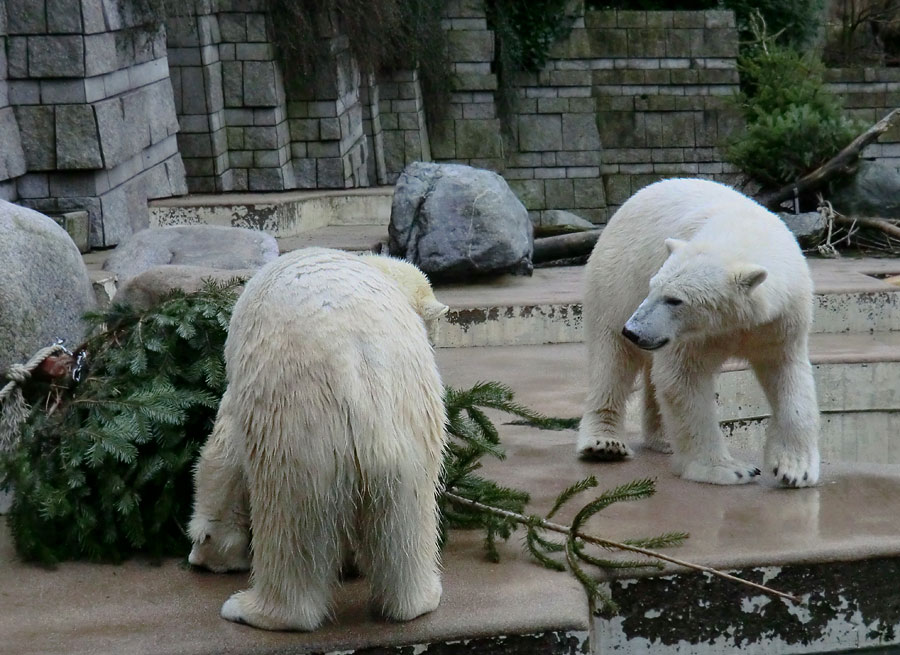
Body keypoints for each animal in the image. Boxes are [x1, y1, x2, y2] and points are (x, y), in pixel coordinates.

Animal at [188, 249, 448, 632]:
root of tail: (360, 377)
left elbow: (224, 453)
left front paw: (209, 550)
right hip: (409, 433)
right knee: (407, 521)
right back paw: (418, 599)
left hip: (299, 427)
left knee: (291, 520)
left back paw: (254, 609)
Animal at [580, 178, 820, 486]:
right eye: (653, 288)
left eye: (675, 299)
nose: (633, 331)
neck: (743, 230)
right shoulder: (692, 333)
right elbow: (683, 377)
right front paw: (728, 468)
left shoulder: (780, 321)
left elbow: (788, 373)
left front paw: (795, 469)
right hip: (617, 277)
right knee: (612, 357)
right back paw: (605, 443)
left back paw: (662, 439)